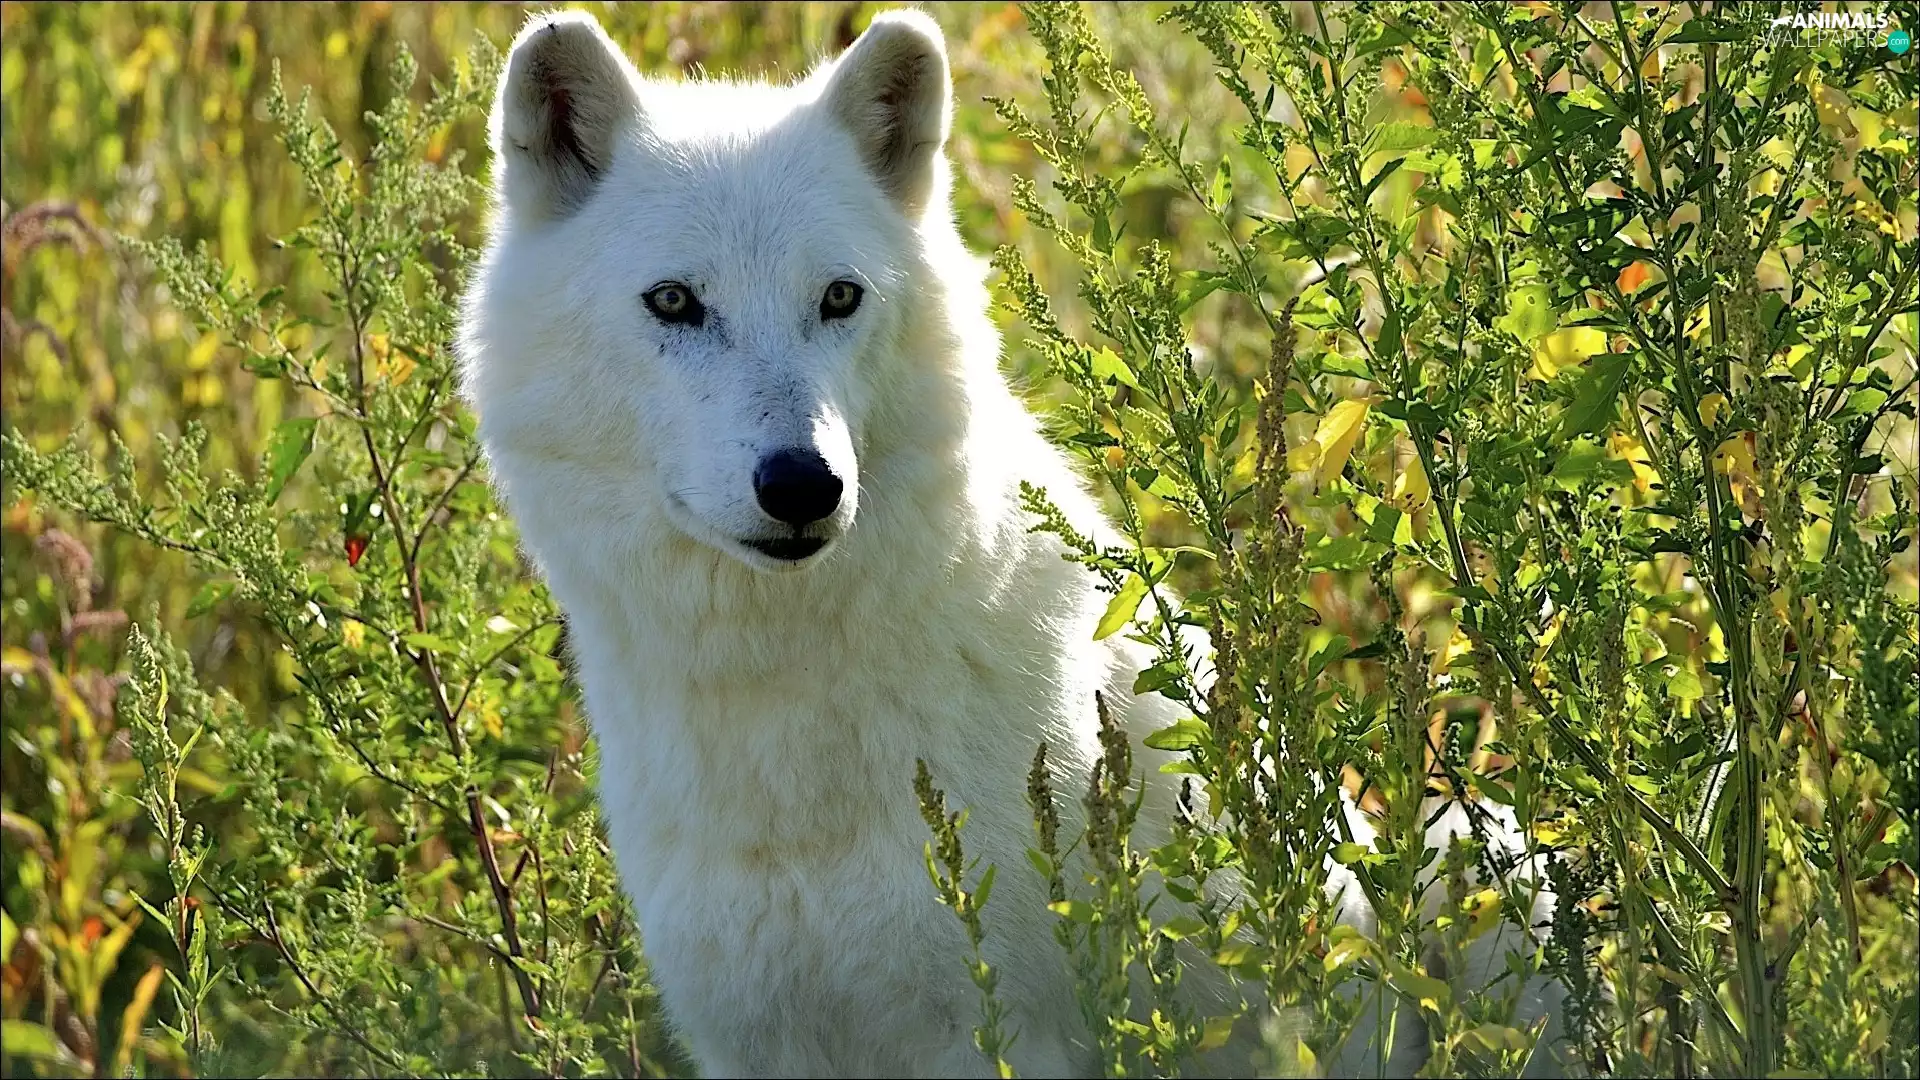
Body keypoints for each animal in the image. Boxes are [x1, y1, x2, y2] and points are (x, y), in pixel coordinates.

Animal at [459, 9, 1561, 1078]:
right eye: (675, 301)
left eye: (839, 298)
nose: (805, 484)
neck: (781, 722)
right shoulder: (750, 1042)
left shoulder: (995, 1027)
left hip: (1498, 861)